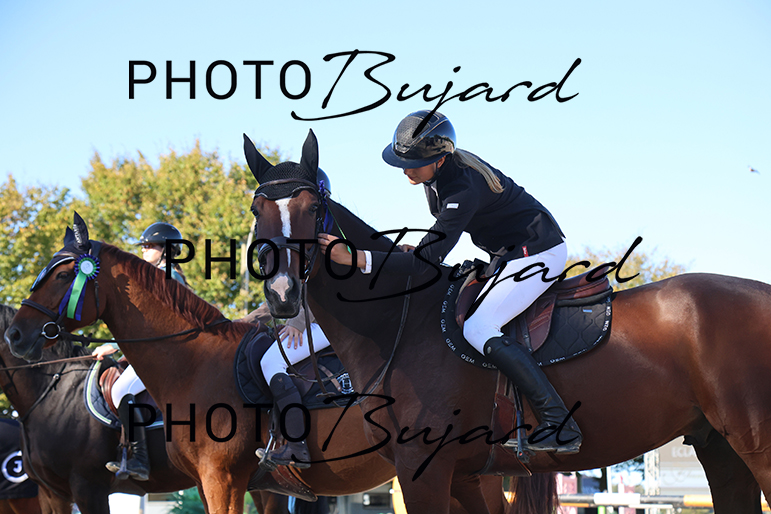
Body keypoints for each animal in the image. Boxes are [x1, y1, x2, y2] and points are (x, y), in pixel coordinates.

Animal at [246, 130, 771, 513]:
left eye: (313, 208)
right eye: (257, 209)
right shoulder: (465, 477)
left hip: (757, 446)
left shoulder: (424, 471)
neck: (398, 323)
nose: (281, 294)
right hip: (720, 450)